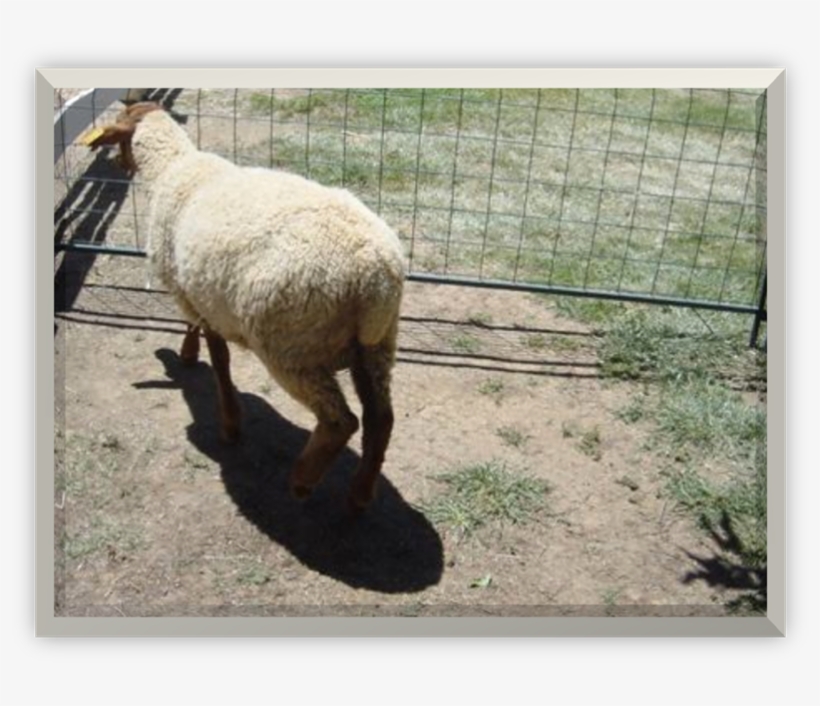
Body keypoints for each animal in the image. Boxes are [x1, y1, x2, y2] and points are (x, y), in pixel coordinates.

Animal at [83, 101, 406, 512]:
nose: (116, 166)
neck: (174, 166)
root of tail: (375, 275)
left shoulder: (197, 297)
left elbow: (220, 363)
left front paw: (229, 425)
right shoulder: (199, 291)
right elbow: (198, 335)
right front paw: (188, 354)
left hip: (291, 346)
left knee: (341, 421)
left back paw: (302, 482)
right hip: (376, 344)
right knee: (381, 419)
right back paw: (360, 495)